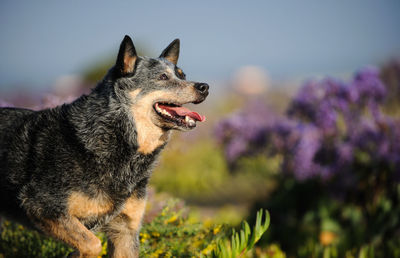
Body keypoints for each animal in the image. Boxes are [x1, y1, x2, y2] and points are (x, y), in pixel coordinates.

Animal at [0, 35, 211, 256]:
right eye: (162, 77)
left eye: (182, 75)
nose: (204, 87)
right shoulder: (41, 205)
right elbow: (92, 244)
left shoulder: (125, 230)